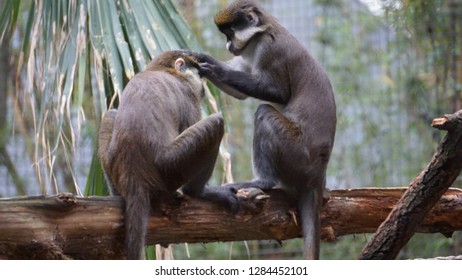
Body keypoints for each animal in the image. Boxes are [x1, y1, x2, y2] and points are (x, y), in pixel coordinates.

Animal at [97, 50, 238, 260]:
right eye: (198, 74)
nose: (203, 86)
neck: (162, 70)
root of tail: (134, 175)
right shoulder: (187, 92)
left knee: (110, 114)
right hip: (169, 169)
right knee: (216, 122)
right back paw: (198, 192)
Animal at [185, 0, 336, 260]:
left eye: (230, 31)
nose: (227, 44)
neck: (260, 33)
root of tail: (319, 174)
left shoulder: (269, 49)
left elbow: (277, 93)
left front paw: (213, 69)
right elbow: (240, 92)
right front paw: (200, 58)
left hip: (296, 153)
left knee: (264, 114)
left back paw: (262, 181)